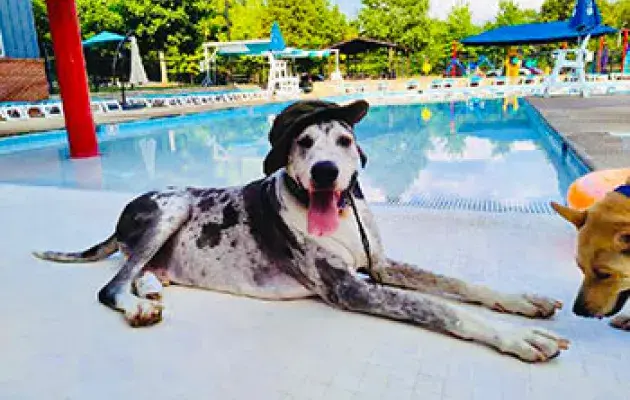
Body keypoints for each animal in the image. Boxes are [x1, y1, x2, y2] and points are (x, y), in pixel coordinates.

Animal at [35, 99, 572, 362]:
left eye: (345, 140)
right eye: (303, 142)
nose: (326, 172)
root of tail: (122, 215)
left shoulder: (380, 266)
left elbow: (457, 284)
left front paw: (523, 301)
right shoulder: (352, 288)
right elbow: (443, 308)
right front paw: (519, 338)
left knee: (138, 272)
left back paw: (148, 292)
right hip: (173, 205)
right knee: (111, 285)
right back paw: (135, 306)